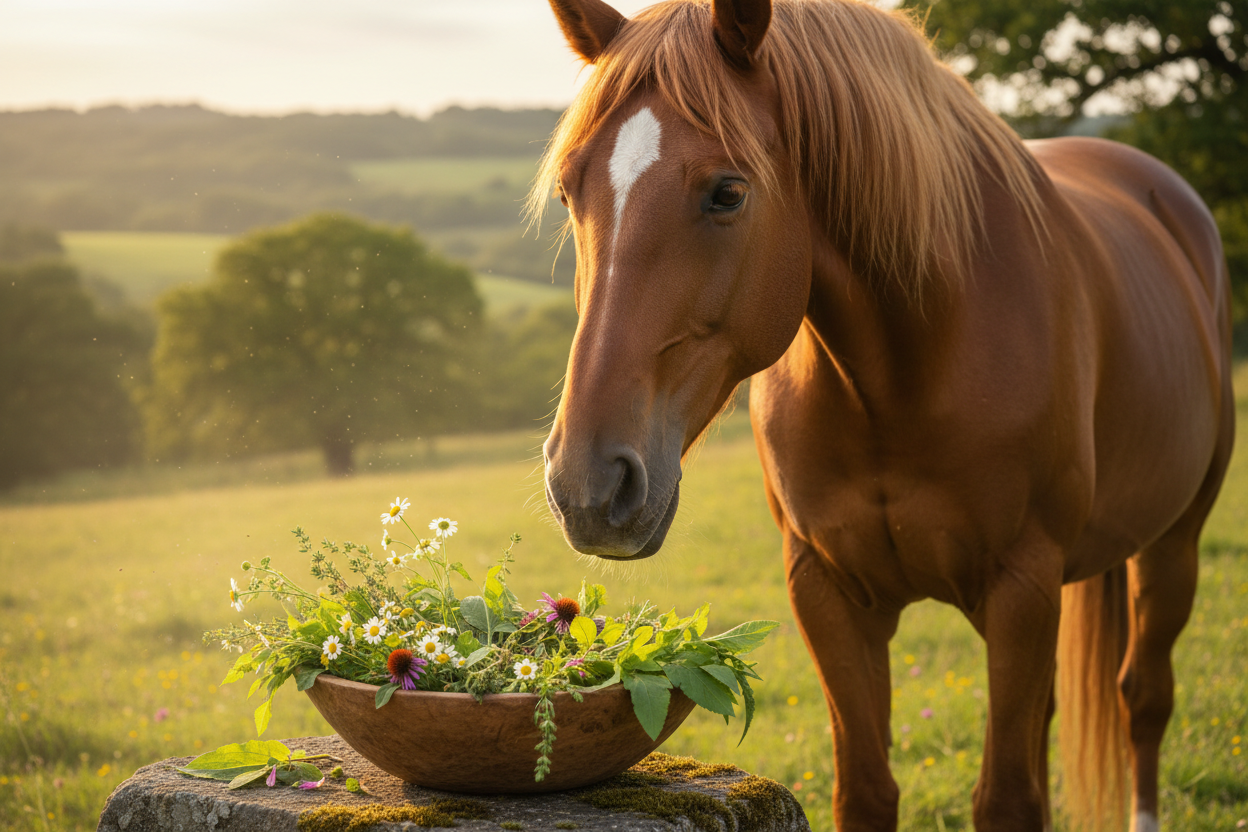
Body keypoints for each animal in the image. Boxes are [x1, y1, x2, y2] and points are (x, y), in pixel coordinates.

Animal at [534, 0, 1234, 829]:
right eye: (572, 191)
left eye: (727, 192)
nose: (587, 486)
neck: (904, 376)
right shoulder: (827, 590)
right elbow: (867, 787)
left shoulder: (1022, 586)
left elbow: (1006, 797)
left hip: (1172, 544)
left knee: (1143, 700)